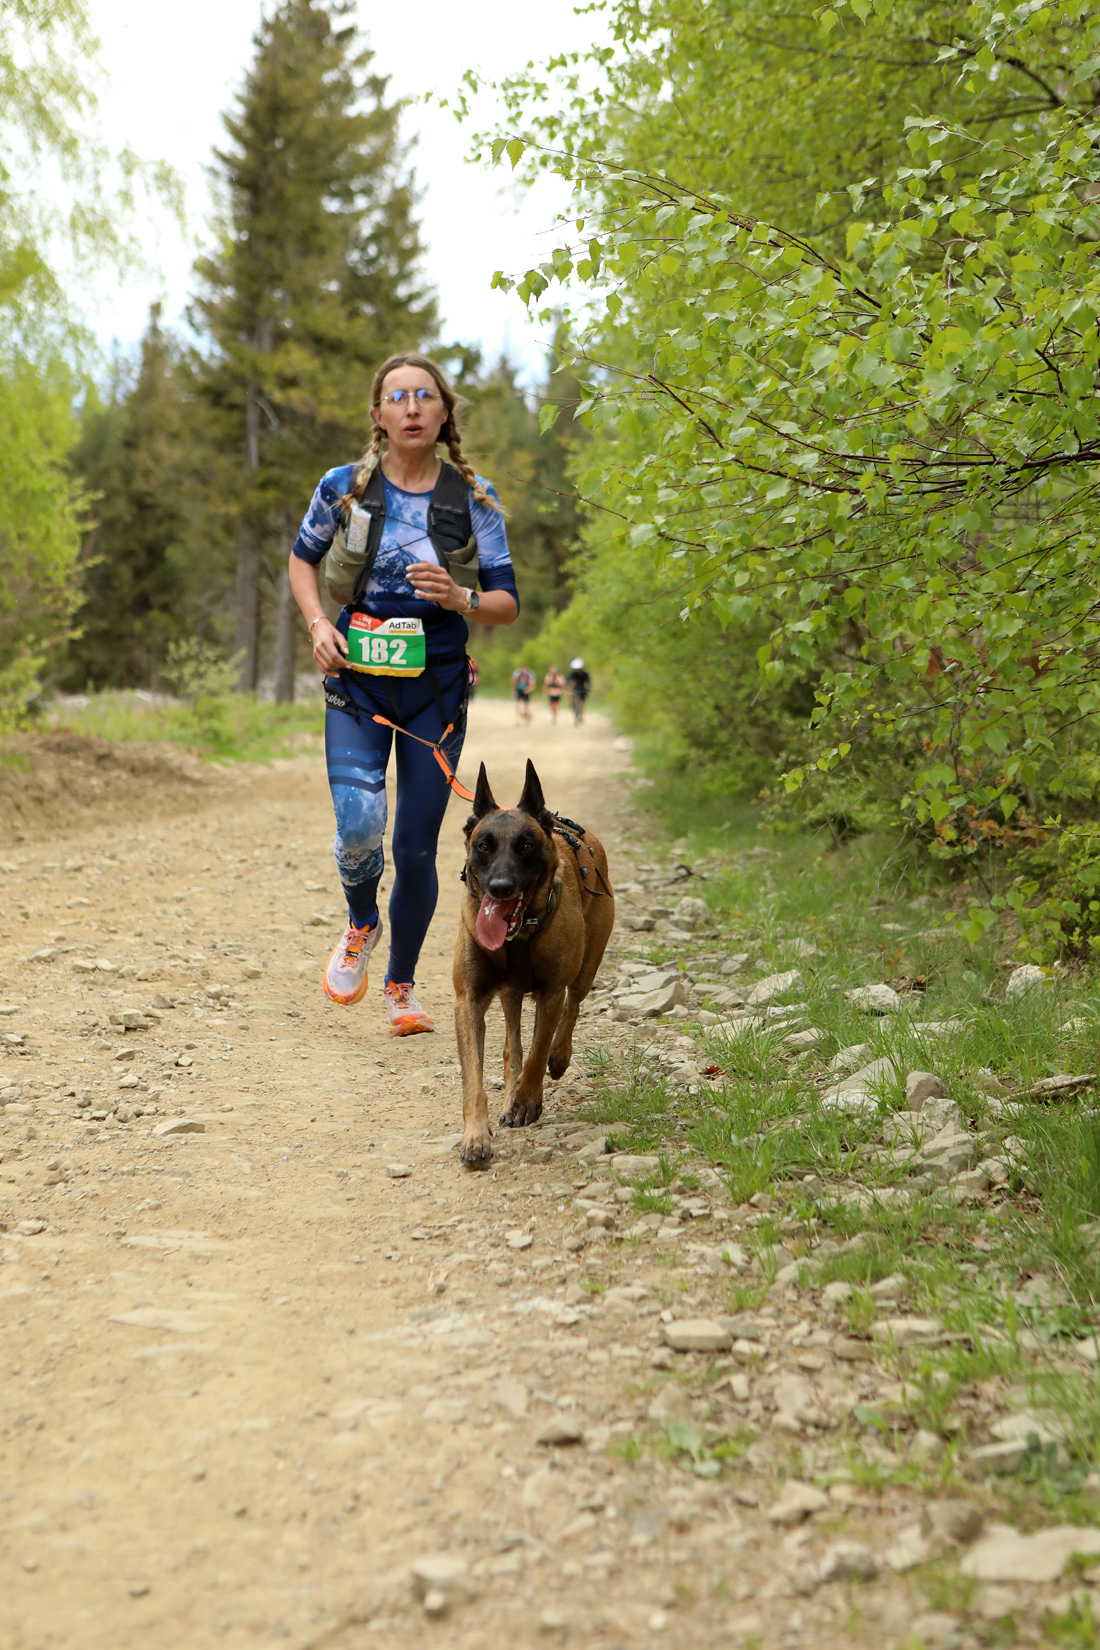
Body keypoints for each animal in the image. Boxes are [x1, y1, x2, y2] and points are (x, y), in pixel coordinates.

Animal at [454, 759, 615, 1166]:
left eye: (526, 845)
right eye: (483, 846)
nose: (500, 888)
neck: (519, 936)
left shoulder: (551, 992)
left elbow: (539, 1050)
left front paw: (527, 1100)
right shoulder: (469, 1001)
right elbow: (474, 1076)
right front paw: (476, 1135)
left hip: (587, 967)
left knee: (573, 1007)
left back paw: (559, 1058)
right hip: (510, 993)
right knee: (513, 1046)